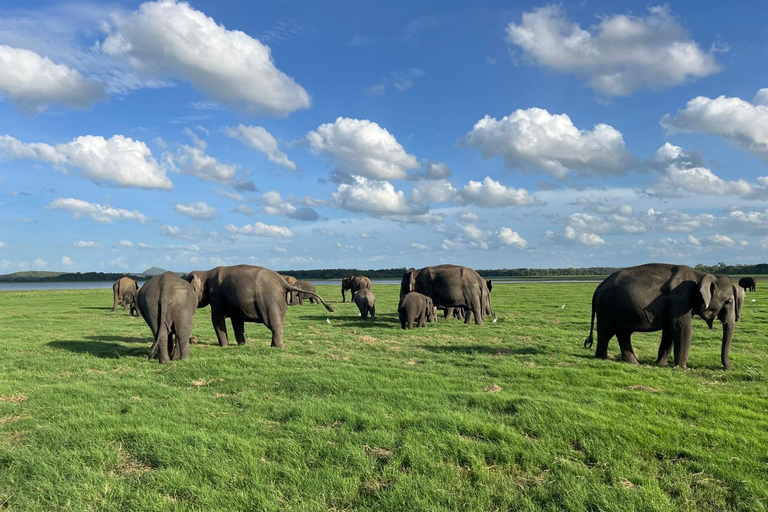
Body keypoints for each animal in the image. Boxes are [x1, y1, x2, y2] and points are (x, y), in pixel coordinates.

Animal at [187, 264, 332, 348]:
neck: (206, 272)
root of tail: (282, 282)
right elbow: (237, 321)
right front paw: (242, 345)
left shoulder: (216, 295)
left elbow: (217, 319)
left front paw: (224, 346)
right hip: (280, 302)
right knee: (279, 323)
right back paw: (274, 346)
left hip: (269, 301)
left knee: (273, 324)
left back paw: (278, 348)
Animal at [584, 266, 740, 370]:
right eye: (728, 301)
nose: (729, 368)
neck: (700, 275)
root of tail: (597, 288)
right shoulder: (680, 299)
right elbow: (682, 328)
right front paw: (684, 368)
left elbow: (670, 331)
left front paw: (661, 364)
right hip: (607, 308)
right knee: (606, 333)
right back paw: (602, 358)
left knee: (623, 333)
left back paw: (634, 363)